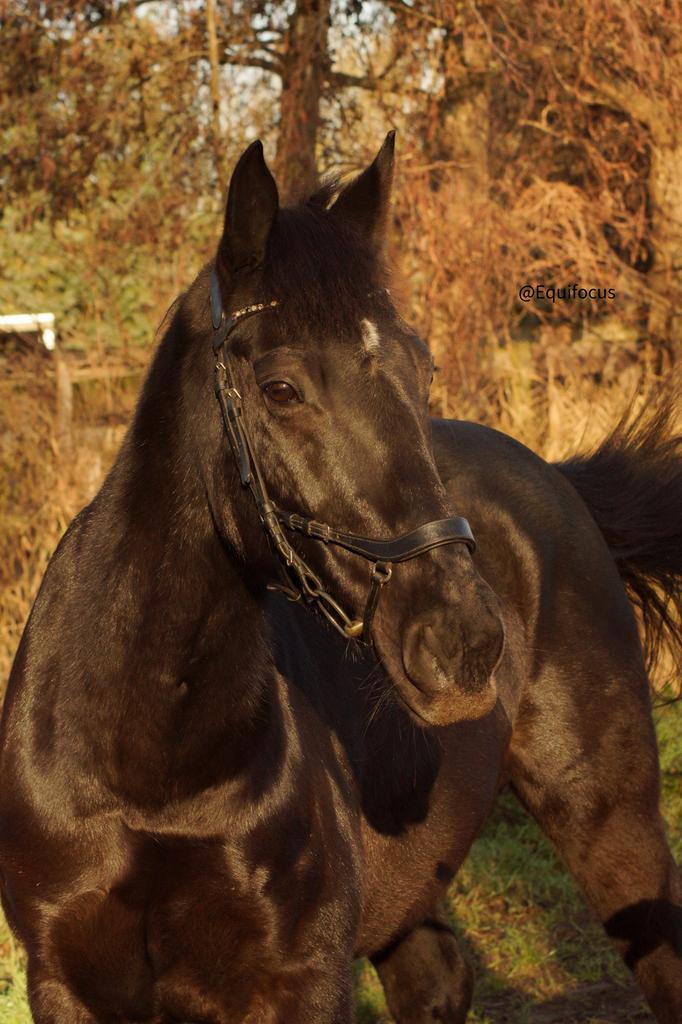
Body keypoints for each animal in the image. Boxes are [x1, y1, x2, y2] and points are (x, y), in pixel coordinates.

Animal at [0, 134, 680, 1024]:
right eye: (281, 389)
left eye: (422, 368)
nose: (465, 641)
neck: (148, 769)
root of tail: (560, 480)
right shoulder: (66, 981)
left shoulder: (303, 977)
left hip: (613, 822)